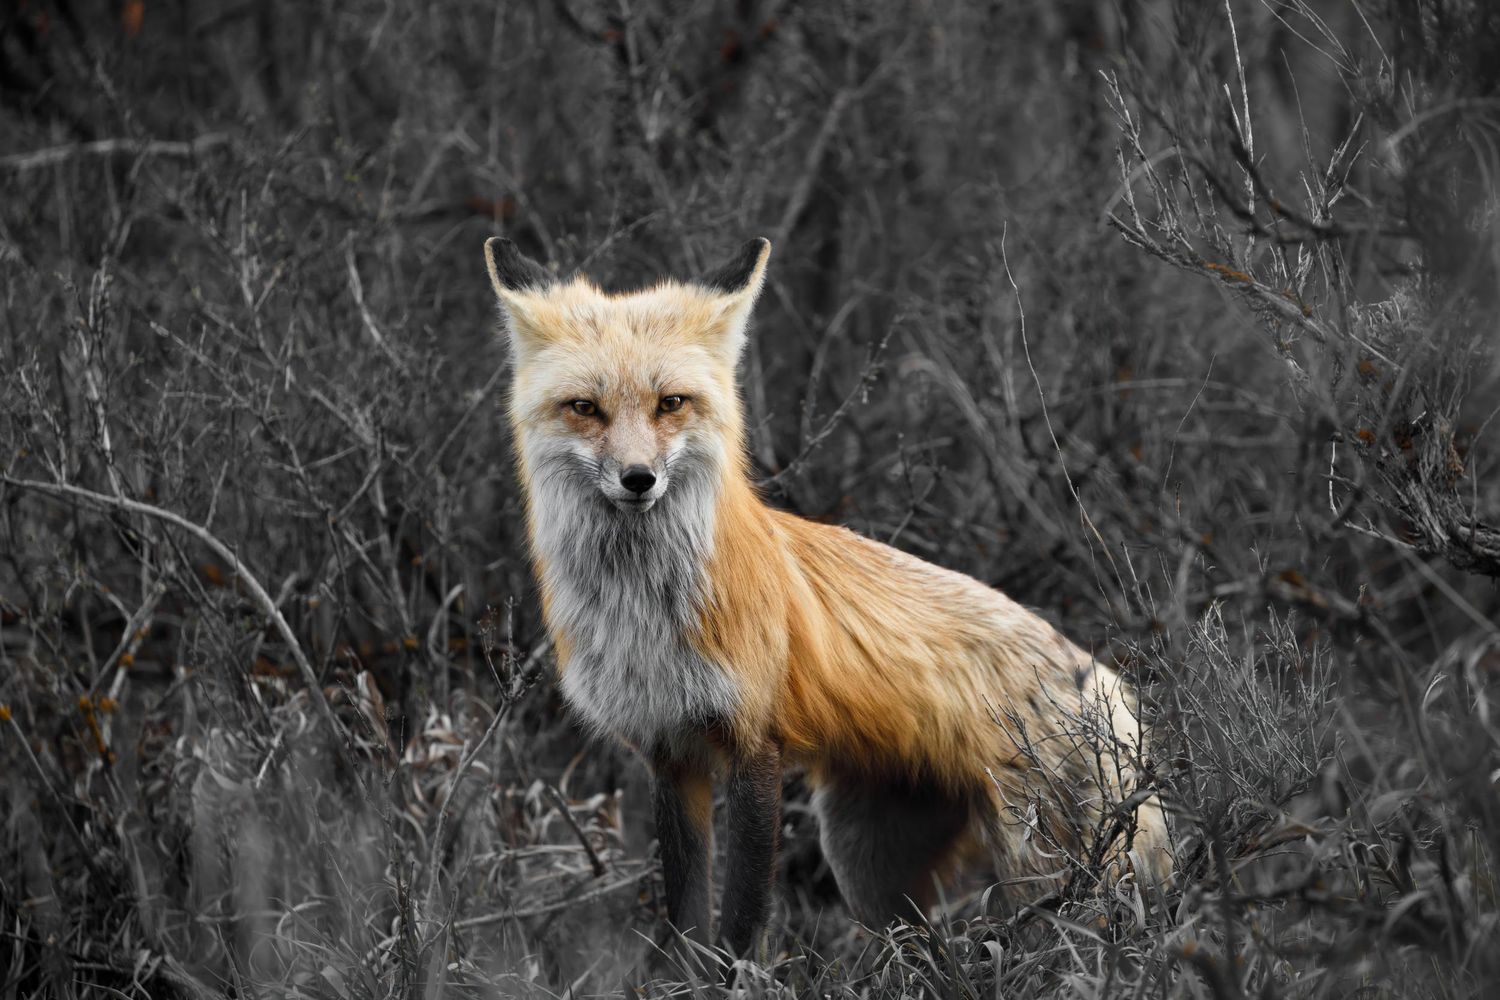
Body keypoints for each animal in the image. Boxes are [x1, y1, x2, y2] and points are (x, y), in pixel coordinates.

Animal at [483, 235, 1172, 956]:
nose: (638, 478)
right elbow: (686, 927)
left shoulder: (755, 744)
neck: (645, 612)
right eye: (585, 408)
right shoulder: (668, 752)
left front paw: (734, 974)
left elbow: (740, 926)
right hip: (866, 868)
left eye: (670, 402)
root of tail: (1109, 686)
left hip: (1047, 878)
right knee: (918, 953)